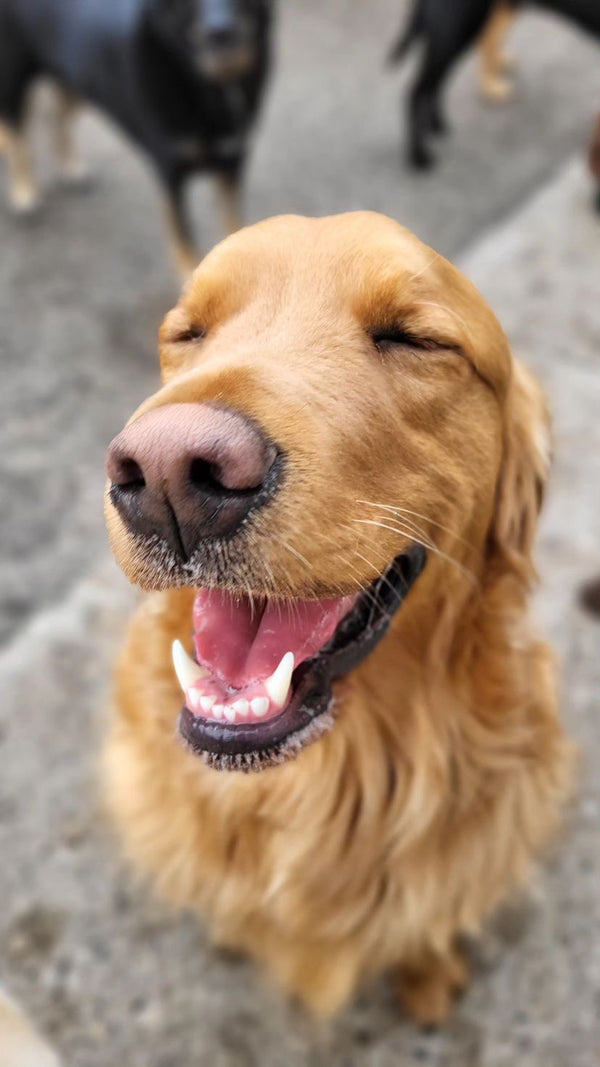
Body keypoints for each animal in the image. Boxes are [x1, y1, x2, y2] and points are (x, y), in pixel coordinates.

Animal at [0, 0, 271, 271]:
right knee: (19, 140)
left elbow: (233, 223)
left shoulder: (232, 163)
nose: (221, 33)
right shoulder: (170, 176)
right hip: (13, 81)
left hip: (76, 77)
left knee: (54, 119)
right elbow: (184, 239)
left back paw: (71, 168)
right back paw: (25, 195)